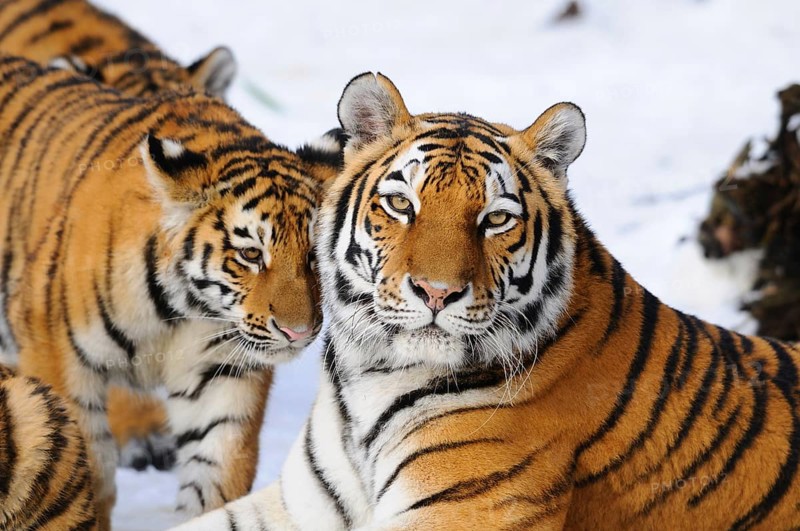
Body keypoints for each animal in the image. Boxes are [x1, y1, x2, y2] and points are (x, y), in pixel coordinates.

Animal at [178, 73, 800, 530]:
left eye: (496, 220)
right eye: (401, 204)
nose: (436, 292)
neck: (369, 375)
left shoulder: (454, 512)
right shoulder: (300, 503)